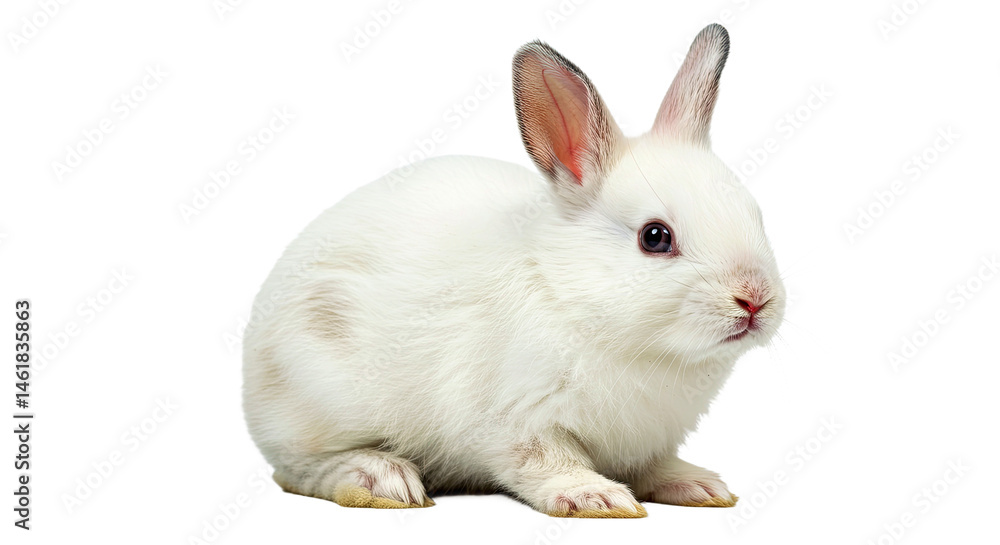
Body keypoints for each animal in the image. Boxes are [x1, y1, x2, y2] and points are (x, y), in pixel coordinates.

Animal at [242, 23, 785, 518]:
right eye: (655, 237)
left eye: (755, 214)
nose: (754, 299)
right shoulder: (519, 423)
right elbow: (543, 463)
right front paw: (596, 498)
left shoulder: (647, 440)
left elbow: (655, 465)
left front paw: (700, 487)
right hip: (316, 394)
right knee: (297, 468)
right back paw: (381, 479)